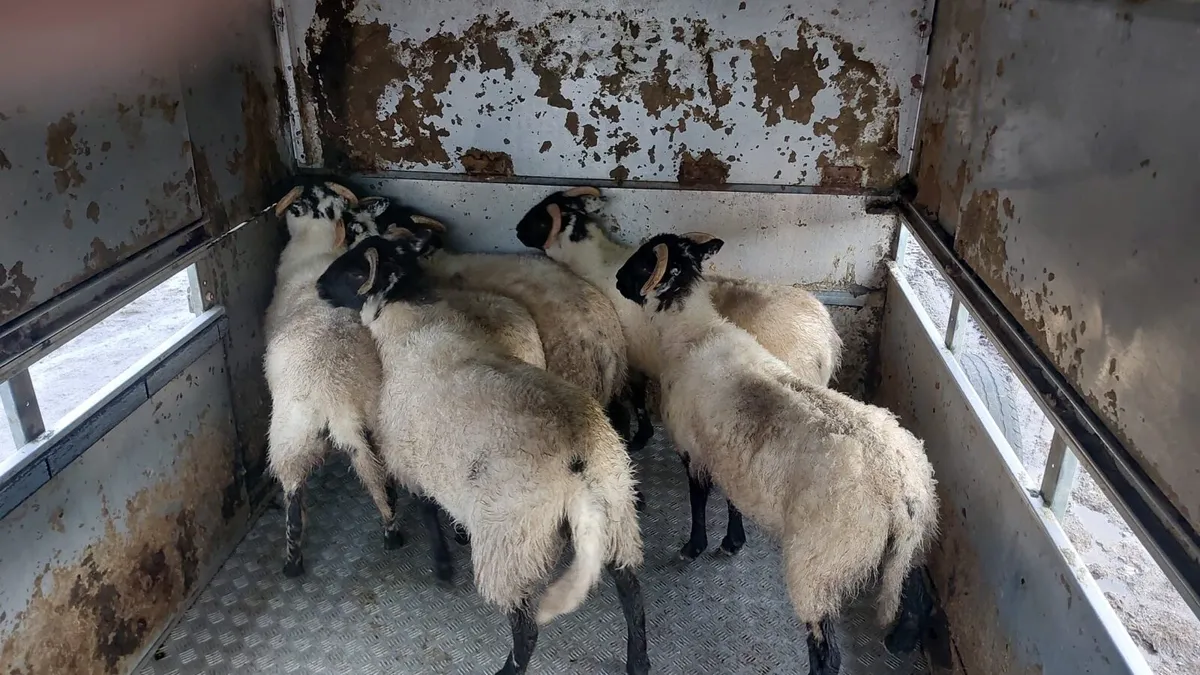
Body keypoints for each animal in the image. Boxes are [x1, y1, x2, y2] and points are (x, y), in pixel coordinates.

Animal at [262, 180, 402, 577]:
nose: (384, 200)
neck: (317, 245)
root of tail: (334, 400)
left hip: (288, 438)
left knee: (294, 493)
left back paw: (293, 560)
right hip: (370, 429)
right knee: (377, 477)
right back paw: (392, 530)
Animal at [315, 231, 649, 675]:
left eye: (354, 270)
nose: (318, 286)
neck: (417, 322)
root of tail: (578, 463)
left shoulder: (410, 459)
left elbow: (426, 509)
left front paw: (442, 564)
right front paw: (456, 535)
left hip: (512, 545)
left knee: (526, 627)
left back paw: (509, 666)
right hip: (616, 514)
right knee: (631, 589)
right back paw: (638, 660)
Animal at [515, 186, 843, 558]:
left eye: (541, 216)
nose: (516, 229)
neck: (596, 262)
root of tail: (826, 338)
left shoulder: (633, 357)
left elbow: (636, 394)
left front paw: (641, 435)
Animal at [613, 232, 938, 675]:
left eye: (645, 262)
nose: (615, 279)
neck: (695, 333)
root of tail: (900, 487)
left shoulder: (693, 448)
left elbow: (698, 499)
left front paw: (693, 546)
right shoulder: (729, 454)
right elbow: (731, 501)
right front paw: (733, 541)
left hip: (819, 563)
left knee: (826, 653)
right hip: (911, 545)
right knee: (917, 586)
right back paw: (903, 640)